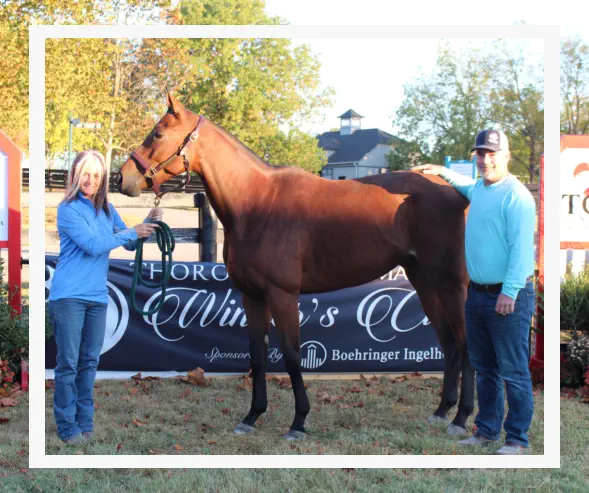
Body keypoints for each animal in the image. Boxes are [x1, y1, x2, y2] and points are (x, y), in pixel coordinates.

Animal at [118, 91, 475, 441]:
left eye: (158, 133)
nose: (124, 177)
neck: (256, 203)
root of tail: (458, 192)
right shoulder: (252, 296)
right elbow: (257, 357)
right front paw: (252, 416)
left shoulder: (283, 295)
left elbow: (291, 356)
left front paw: (298, 421)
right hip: (424, 282)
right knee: (448, 343)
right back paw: (442, 411)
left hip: (452, 285)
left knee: (465, 343)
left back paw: (462, 418)